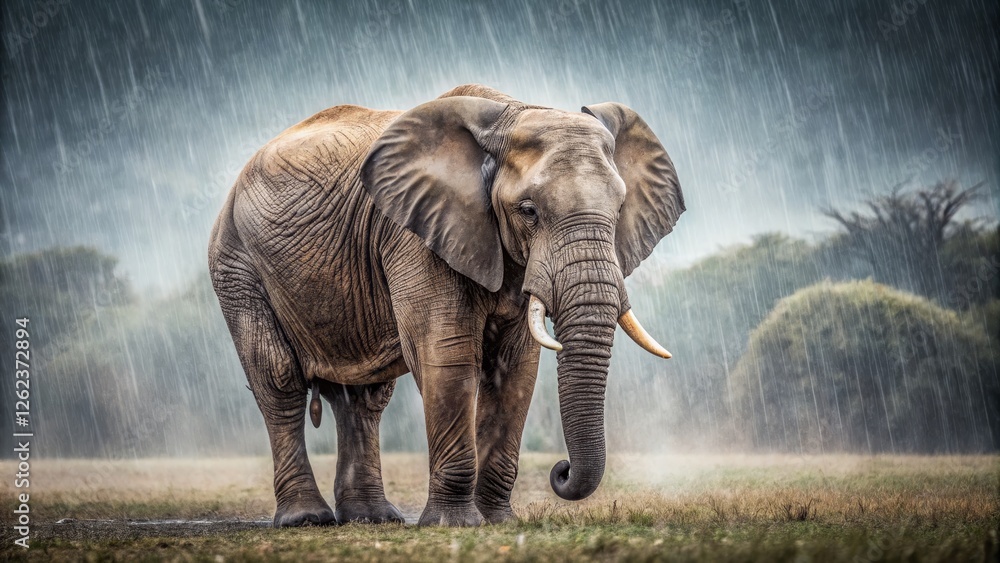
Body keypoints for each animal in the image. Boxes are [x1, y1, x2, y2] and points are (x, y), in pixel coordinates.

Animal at [208, 84, 684, 527]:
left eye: (619, 209)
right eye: (528, 211)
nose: (561, 470)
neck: (512, 112)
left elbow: (515, 369)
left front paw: (497, 521)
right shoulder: (413, 236)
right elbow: (446, 355)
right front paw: (454, 524)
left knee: (363, 398)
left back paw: (372, 518)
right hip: (235, 263)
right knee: (278, 380)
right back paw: (306, 518)